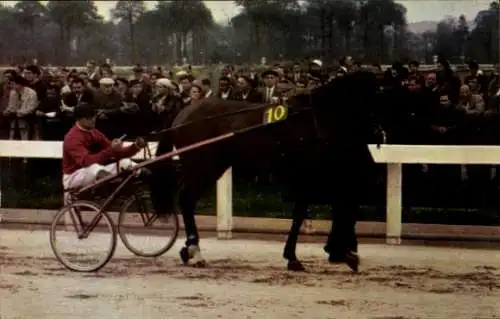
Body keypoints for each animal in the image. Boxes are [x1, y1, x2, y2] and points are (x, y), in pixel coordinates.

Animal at [148, 71, 382, 274]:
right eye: (381, 95)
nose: (378, 137)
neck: (316, 119)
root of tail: (183, 113)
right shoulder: (315, 176)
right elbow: (323, 209)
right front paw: (332, 252)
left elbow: (334, 207)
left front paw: (338, 251)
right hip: (203, 169)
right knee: (186, 200)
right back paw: (194, 251)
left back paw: (189, 250)